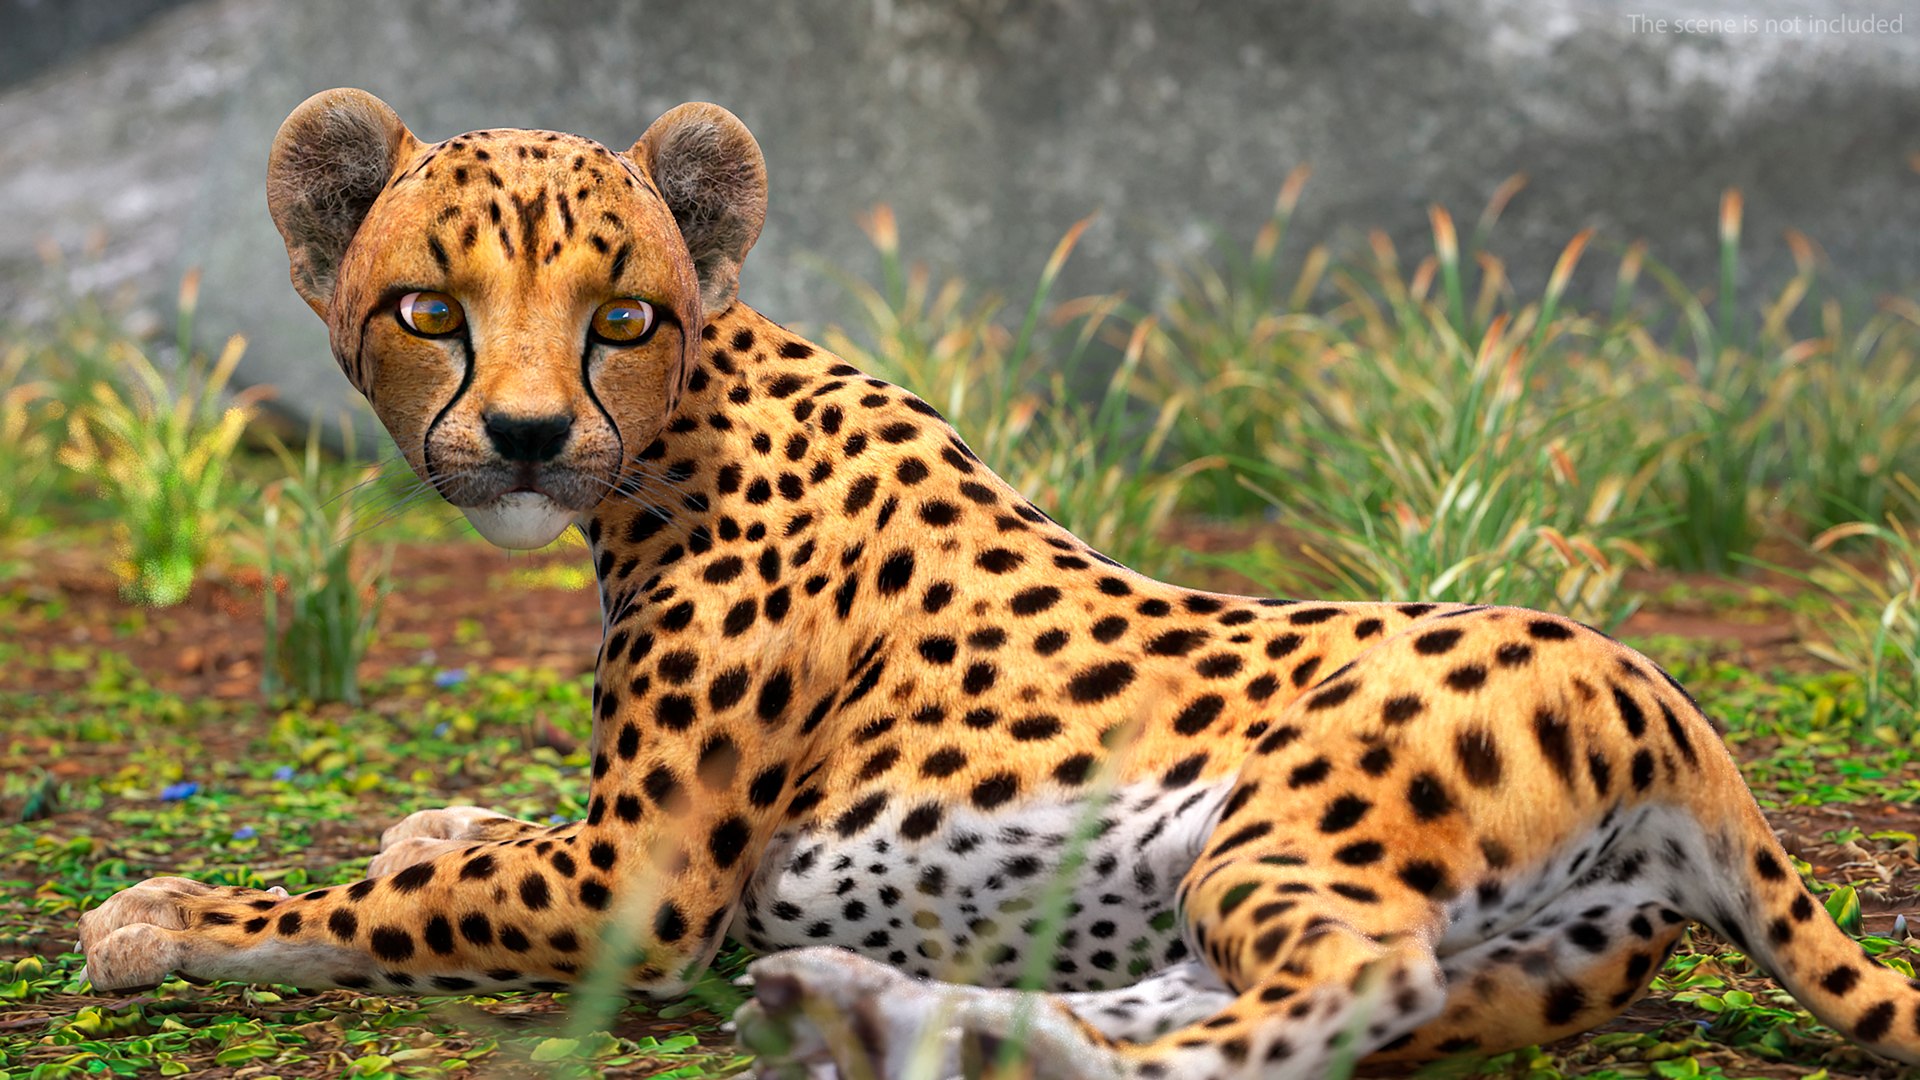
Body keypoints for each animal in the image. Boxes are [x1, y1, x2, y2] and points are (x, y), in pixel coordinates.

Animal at [76, 88, 1920, 1079]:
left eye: (621, 317)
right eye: (427, 309)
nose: (528, 441)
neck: (693, 412)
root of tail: (1683, 714)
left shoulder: (641, 882)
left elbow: (386, 907)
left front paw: (174, 918)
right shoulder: (624, 843)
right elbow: (467, 840)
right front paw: (429, 818)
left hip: (1291, 829)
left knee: (1340, 990)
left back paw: (938, 1030)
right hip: (1388, 930)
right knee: (1244, 1004)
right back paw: (908, 1015)